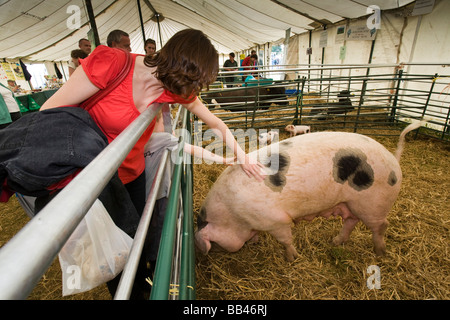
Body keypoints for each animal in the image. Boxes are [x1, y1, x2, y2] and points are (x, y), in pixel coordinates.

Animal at [194, 121, 422, 262]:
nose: (212, 253)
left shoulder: (275, 220)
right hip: (352, 202)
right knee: (350, 221)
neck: (231, 215)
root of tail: (393, 160)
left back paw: (380, 253)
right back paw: (335, 242)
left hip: (375, 204)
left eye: (214, 243)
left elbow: (285, 239)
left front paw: (292, 258)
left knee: (381, 226)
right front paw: (255, 240)